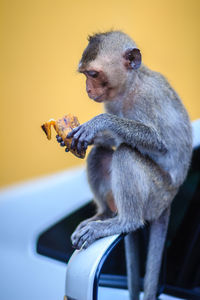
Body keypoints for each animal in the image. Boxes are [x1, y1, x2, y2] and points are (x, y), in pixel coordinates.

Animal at [57, 30, 192, 300]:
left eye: (93, 74)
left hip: (157, 193)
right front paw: (81, 136)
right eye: (85, 74)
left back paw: (125, 221)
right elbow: (109, 141)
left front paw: (99, 122)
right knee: (101, 154)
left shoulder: (148, 98)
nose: (87, 89)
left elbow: (159, 142)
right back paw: (105, 214)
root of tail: (168, 201)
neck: (131, 86)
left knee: (126, 154)